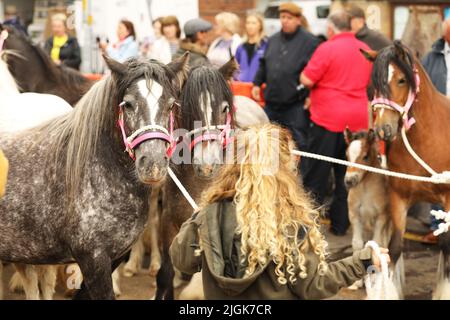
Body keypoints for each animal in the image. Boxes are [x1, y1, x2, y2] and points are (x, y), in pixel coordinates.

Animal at [362, 41, 450, 298]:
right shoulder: (398, 198)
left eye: (401, 80)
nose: (383, 129)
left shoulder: (448, 199)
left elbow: (447, 246)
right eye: (373, 84)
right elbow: (395, 247)